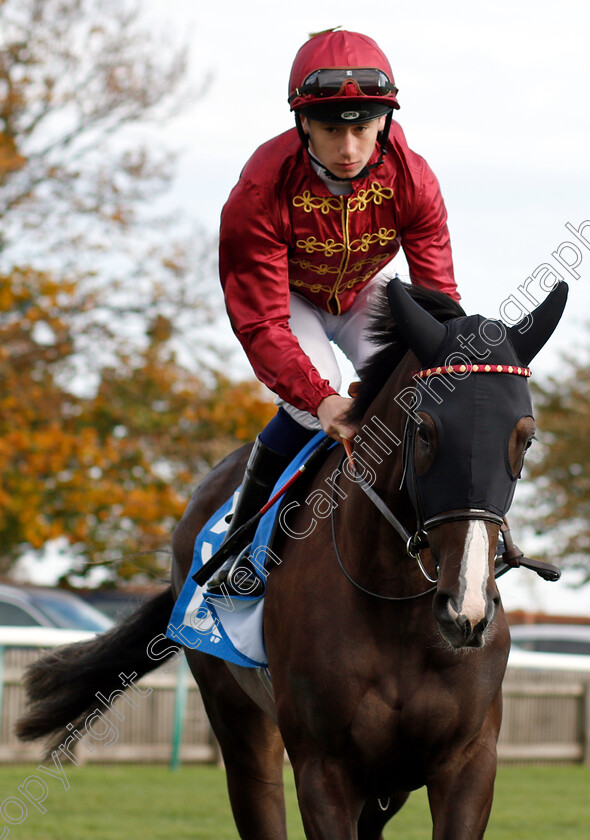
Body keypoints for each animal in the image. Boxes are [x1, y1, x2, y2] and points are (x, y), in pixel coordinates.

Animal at [15, 278, 568, 836]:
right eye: (427, 429)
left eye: (526, 437)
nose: (466, 610)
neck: (396, 607)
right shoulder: (323, 769)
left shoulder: (466, 764)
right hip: (239, 721)